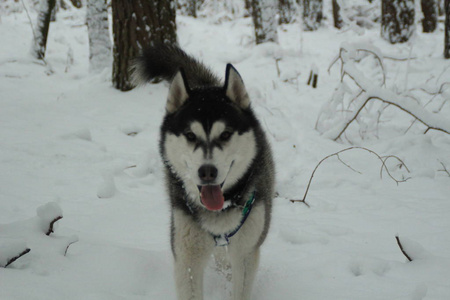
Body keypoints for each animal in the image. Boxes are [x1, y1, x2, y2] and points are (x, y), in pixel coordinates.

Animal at [131, 44, 274, 300]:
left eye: (225, 134)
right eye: (190, 135)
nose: (207, 172)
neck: (221, 209)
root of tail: (205, 85)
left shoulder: (246, 252)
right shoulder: (187, 255)